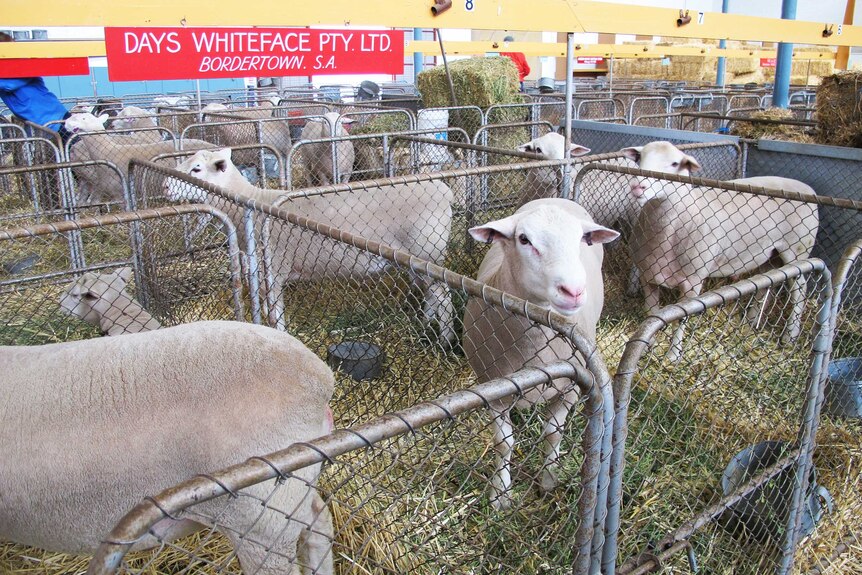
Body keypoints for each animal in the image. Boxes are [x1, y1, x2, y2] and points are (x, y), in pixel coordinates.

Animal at [164, 148, 460, 346]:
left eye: (196, 169)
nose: (165, 187)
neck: (249, 203)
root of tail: (444, 190)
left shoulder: (274, 270)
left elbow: (276, 314)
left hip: (427, 251)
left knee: (444, 298)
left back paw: (444, 341)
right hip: (416, 259)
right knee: (432, 295)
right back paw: (425, 324)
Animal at [466, 200, 620, 510]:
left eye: (580, 239)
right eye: (524, 240)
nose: (573, 291)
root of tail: (557, 199)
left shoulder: (572, 386)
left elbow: (553, 433)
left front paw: (548, 478)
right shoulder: (493, 391)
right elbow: (504, 443)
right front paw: (500, 493)